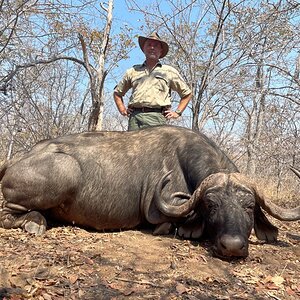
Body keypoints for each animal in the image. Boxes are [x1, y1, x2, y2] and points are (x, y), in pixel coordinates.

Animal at [0, 126, 298, 258]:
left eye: (249, 206)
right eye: (211, 206)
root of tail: (15, 159)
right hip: (65, 169)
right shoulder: (160, 211)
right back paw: (34, 222)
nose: (232, 246)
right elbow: (172, 223)